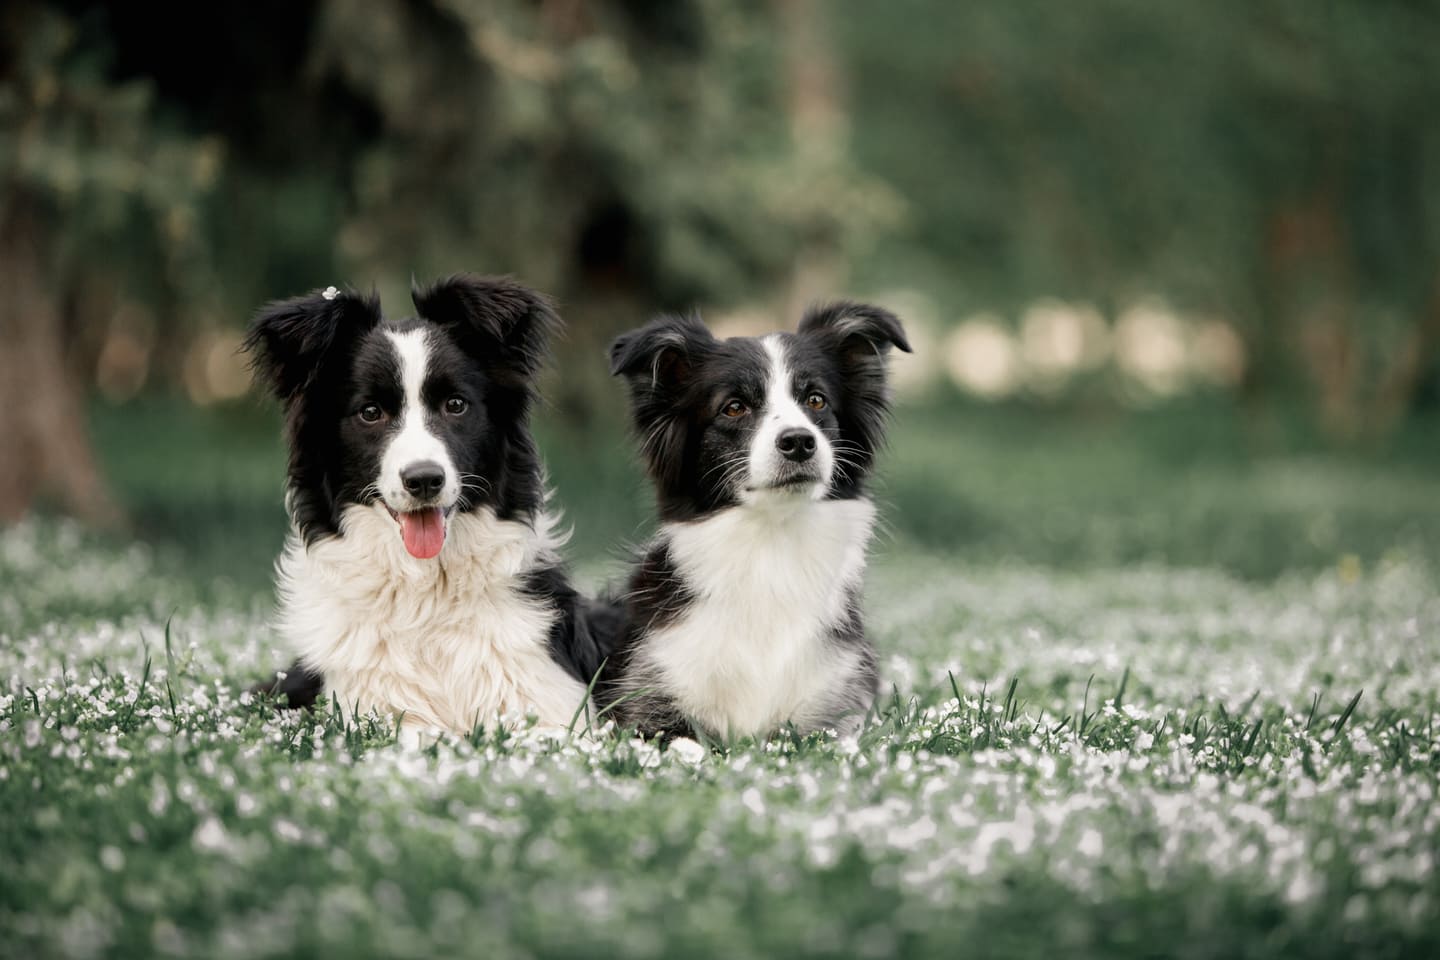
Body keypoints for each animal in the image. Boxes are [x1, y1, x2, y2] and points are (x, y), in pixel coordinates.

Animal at [596, 300, 910, 742]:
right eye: (734, 407)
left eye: (816, 400)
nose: (799, 442)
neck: (771, 543)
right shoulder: (651, 696)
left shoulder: (835, 705)